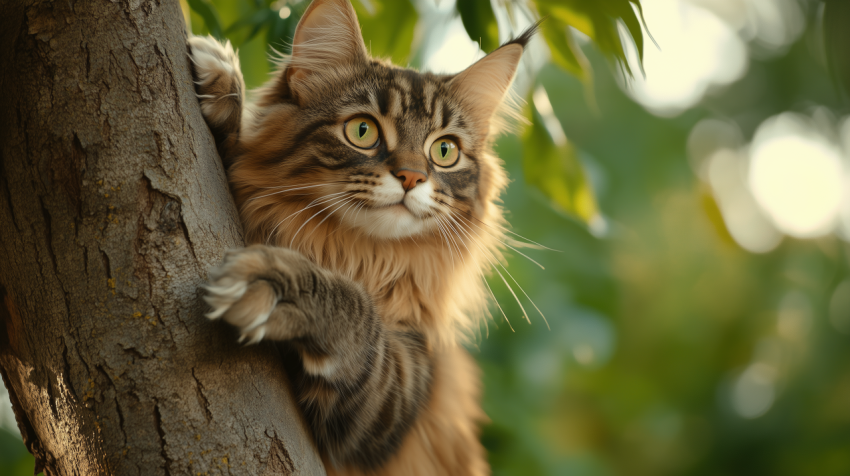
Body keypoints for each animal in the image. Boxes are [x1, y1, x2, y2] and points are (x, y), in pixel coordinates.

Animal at [189, 1, 532, 474]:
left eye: (444, 151)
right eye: (363, 131)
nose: (412, 177)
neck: (355, 253)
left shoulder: (400, 387)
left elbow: (356, 311)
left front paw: (276, 285)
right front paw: (220, 80)